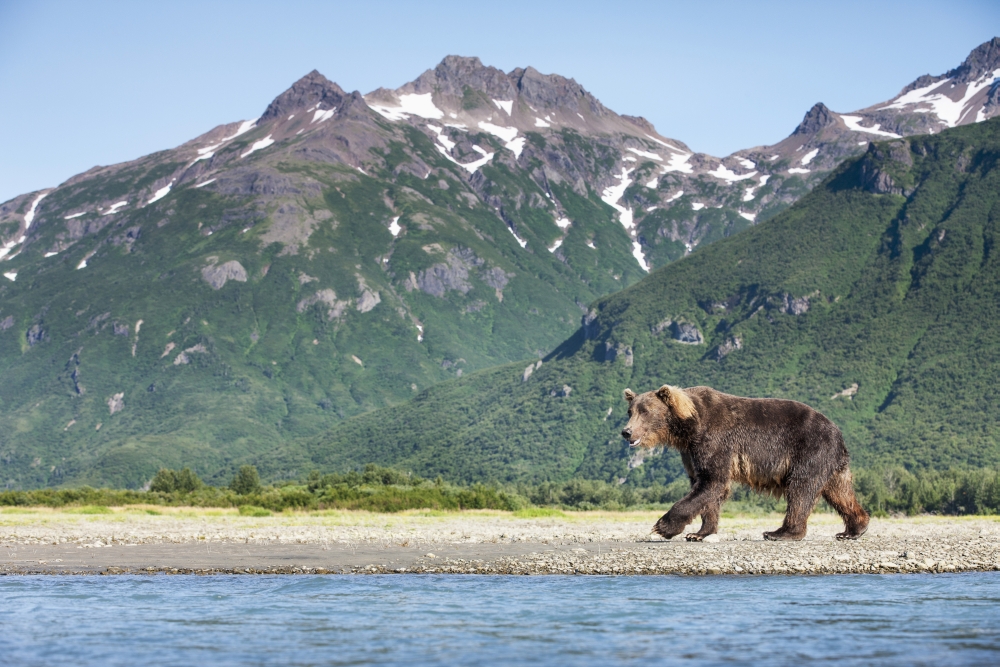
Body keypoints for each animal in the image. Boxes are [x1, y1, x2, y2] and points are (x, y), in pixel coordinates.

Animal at [621, 384, 869, 541]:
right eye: (630, 411)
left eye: (646, 411)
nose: (626, 431)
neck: (689, 425)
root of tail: (836, 430)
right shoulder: (690, 451)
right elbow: (706, 488)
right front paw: (699, 533)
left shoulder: (715, 439)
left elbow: (712, 481)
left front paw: (662, 527)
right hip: (831, 462)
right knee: (839, 492)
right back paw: (853, 529)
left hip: (809, 450)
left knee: (801, 490)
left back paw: (780, 532)